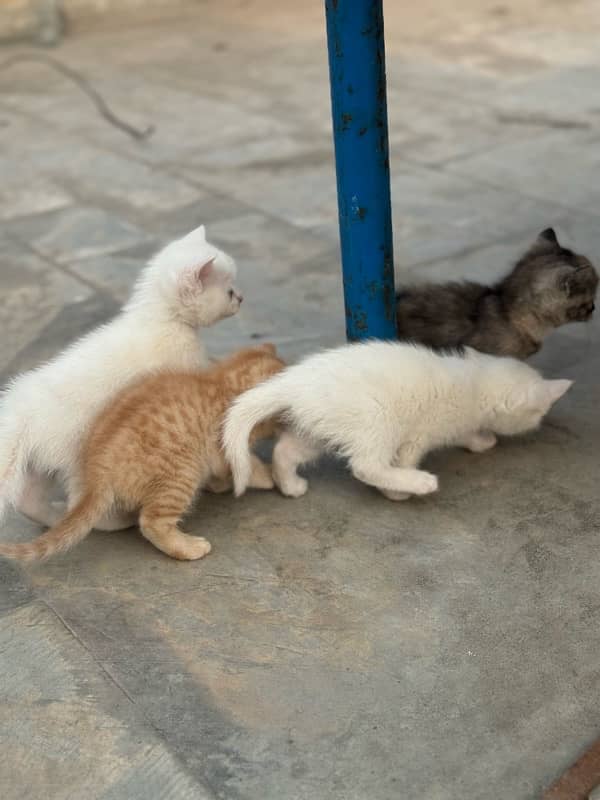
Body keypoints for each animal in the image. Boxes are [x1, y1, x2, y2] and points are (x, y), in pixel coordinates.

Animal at [0, 344, 284, 564]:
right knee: (151, 523)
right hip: (182, 473)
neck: (221, 382)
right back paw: (188, 547)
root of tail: (97, 472)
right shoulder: (224, 449)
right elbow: (244, 466)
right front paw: (265, 476)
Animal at [2, 223, 243, 532]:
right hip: (77, 453)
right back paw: (116, 521)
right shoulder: (183, 367)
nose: (241, 298)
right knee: (84, 502)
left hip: (41, 464)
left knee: (29, 500)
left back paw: (54, 518)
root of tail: (19, 412)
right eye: (228, 291)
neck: (159, 318)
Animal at [224, 340, 572, 504]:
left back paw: (291, 485)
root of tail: (295, 380)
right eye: (539, 413)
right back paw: (416, 484)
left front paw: (480, 440)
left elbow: (466, 433)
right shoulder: (420, 432)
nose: (543, 421)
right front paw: (399, 488)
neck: (473, 382)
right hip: (375, 418)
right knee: (366, 466)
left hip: (320, 427)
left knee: (285, 450)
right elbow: (406, 457)